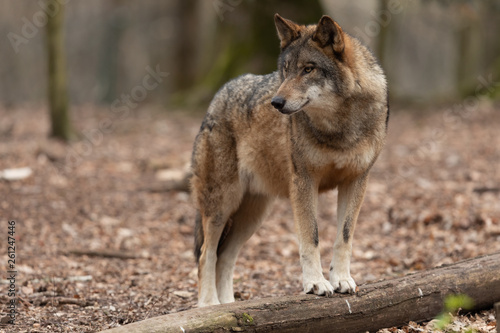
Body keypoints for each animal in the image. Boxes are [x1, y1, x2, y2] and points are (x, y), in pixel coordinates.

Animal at [189, 13, 388, 304]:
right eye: (286, 70)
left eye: (308, 69)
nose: (276, 102)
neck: (338, 127)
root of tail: (215, 99)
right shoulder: (304, 182)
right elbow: (311, 238)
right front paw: (316, 284)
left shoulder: (356, 181)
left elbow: (344, 237)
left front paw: (341, 280)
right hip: (221, 206)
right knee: (206, 254)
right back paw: (209, 305)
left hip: (253, 215)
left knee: (224, 257)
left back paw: (227, 306)